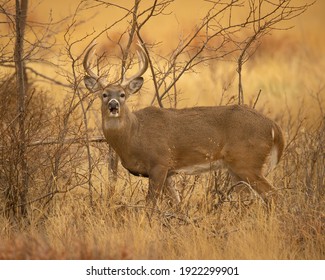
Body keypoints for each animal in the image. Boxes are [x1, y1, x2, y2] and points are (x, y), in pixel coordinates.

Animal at [83, 43, 284, 206]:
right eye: (104, 94)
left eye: (122, 94)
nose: (113, 106)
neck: (134, 135)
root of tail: (273, 126)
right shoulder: (168, 173)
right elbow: (177, 204)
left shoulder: (160, 162)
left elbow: (151, 205)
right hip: (235, 168)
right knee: (249, 197)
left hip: (248, 161)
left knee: (272, 194)